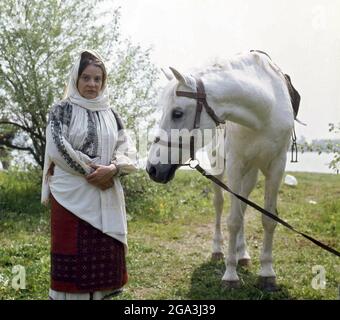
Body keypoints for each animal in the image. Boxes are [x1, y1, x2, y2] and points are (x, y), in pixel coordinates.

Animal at [146, 51, 294, 292]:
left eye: (177, 113)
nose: (152, 168)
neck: (265, 110)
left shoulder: (277, 166)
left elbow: (268, 218)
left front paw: (267, 273)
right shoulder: (235, 164)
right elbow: (232, 220)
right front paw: (230, 275)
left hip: (251, 172)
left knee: (243, 206)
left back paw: (243, 254)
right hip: (220, 168)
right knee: (220, 205)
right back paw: (218, 250)